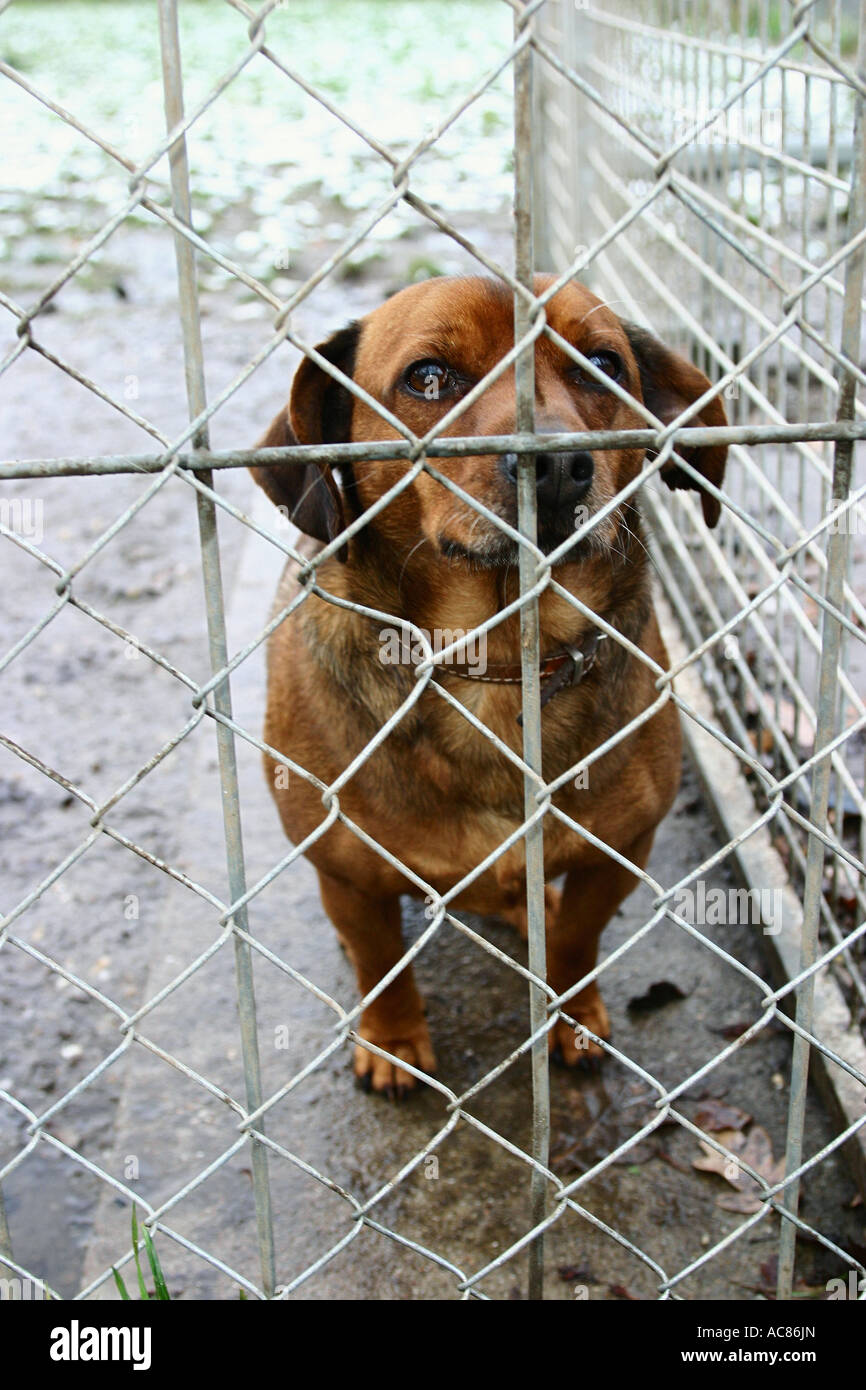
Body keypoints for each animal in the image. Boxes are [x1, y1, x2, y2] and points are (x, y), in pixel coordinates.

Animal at [252, 271, 733, 1095]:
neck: (498, 662)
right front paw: (392, 1040)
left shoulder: (619, 850)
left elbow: (576, 940)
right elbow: (381, 961)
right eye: (429, 377)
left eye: (602, 365)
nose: (561, 467)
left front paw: (571, 1018)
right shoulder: (348, 875)